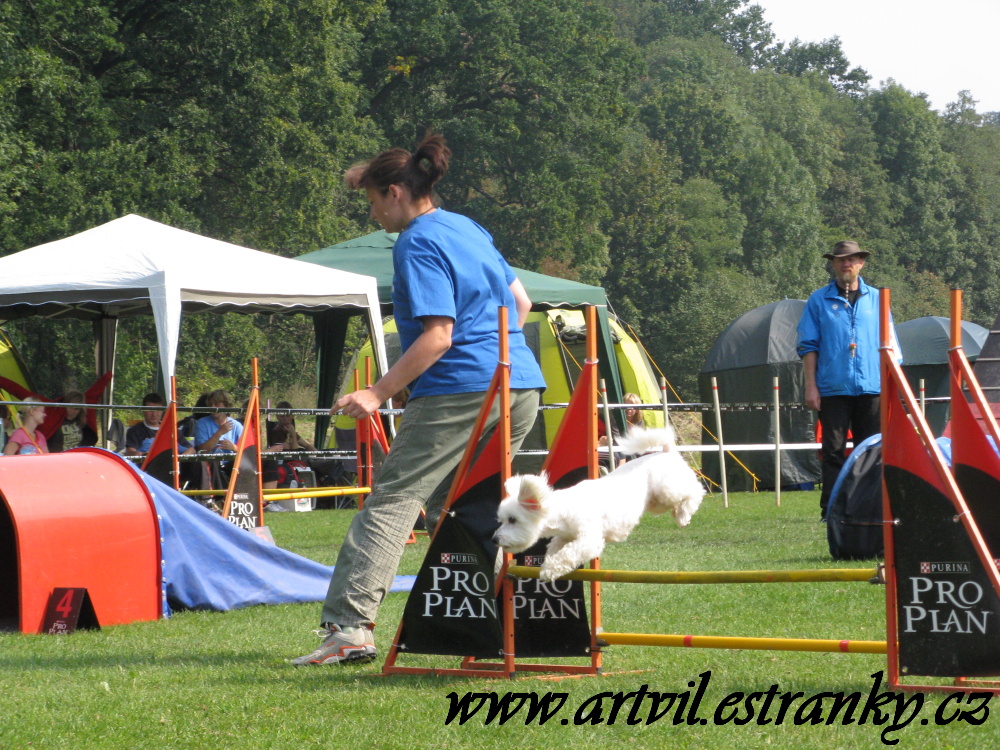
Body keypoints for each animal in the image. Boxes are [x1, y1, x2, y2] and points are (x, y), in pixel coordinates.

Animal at [492, 428, 704, 580]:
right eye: (501, 520)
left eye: (513, 520)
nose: (495, 539)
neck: (565, 509)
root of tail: (666, 452)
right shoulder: (565, 536)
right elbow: (555, 548)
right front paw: (549, 563)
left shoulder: (589, 539)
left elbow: (569, 553)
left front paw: (549, 570)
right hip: (656, 502)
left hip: (667, 490)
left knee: (695, 491)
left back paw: (683, 516)